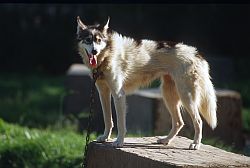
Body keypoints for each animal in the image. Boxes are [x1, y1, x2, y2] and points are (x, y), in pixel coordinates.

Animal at [76, 16, 217, 150]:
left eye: (99, 40)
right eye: (88, 40)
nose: (94, 51)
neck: (107, 56)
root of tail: (196, 53)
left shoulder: (118, 95)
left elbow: (121, 124)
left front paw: (119, 142)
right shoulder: (103, 93)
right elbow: (108, 119)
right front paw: (105, 137)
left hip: (186, 97)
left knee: (198, 121)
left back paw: (195, 144)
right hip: (168, 95)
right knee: (179, 122)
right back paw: (165, 140)